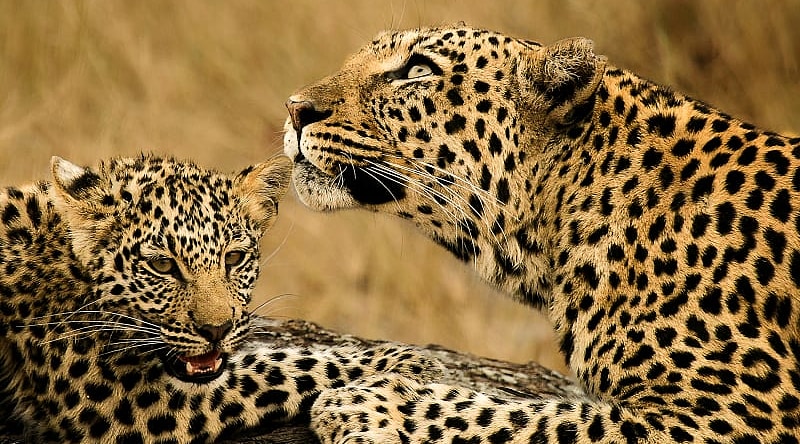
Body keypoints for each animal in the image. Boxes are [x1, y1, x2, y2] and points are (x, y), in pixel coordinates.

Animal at [0, 153, 441, 443]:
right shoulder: (119, 402)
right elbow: (280, 368)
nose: (216, 330)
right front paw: (403, 360)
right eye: (162, 265)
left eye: (233, 258)